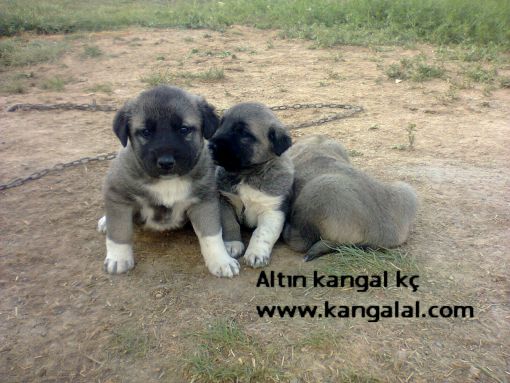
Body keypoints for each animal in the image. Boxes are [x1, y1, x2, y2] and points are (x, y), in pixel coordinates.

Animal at [98, 85, 241, 278]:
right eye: (146, 132)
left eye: (184, 129)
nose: (166, 162)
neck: (167, 182)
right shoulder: (118, 195)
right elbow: (119, 231)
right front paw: (119, 259)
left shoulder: (204, 202)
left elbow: (211, 235)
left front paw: (221, 260)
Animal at [207, 103, 292, 268]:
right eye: (221, 124)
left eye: (243, 133)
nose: (209, 146)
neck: (246, 174)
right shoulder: (224, 200)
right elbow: (230, 223)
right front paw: (232, 244)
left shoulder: (273, 210)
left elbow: (262, 233)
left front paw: (256, 253)